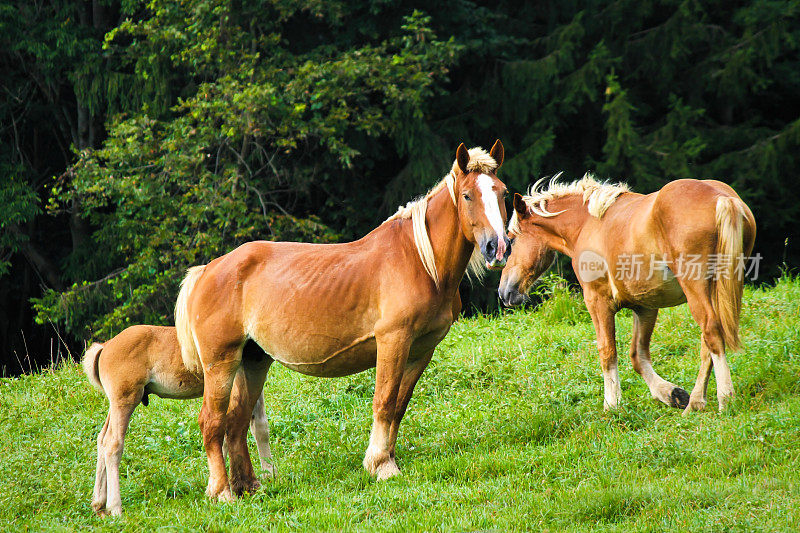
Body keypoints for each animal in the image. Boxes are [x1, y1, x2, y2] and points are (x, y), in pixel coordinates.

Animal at [83, 324, 274, 516]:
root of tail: (105, 347)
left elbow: (260, 427)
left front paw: (269, 474)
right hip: (125, 401)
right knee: (113, 443)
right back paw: (115, 507)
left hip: (115, 405)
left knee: (101, 439)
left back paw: (98, 503)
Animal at [177, 140, 510, 498]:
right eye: (467, 195)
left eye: (503, 193)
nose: (497, 248)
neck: (421, 262)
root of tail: (207, 270)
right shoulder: (393, 340)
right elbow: (384, 401)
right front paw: (381, 465)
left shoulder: (421, 350)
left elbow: (399, 405)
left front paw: (388, 458)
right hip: (221, 362)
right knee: (212, 422)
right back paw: (222, 492)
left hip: (252, 360)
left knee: (237, 421)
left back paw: (248, 486)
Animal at [500, 175, 756, 412]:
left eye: (511, 240)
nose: (504, 292)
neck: (588, 224)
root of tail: (722, 199)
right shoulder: (645, 307)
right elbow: (638, 356)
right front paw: (671, 393)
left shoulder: (597, 302)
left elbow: (607, 351)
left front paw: (611, 404)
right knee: (707, 341)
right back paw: (694, 402)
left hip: (697, 289)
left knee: (711, 332)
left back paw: (724, 398)